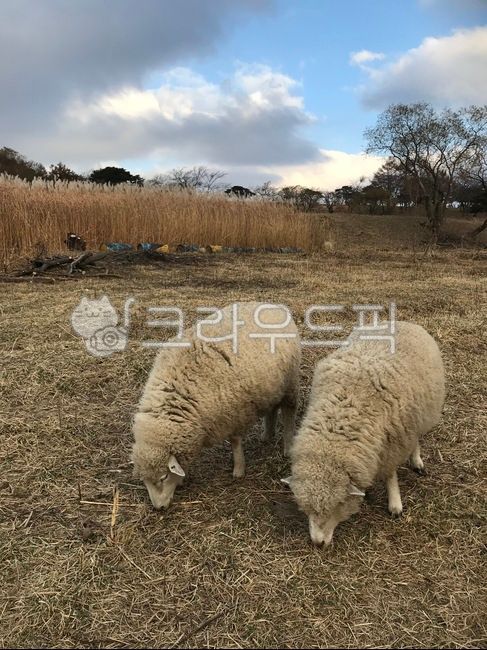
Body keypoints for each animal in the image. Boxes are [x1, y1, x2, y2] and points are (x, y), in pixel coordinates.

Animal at [131, 301, 301, 509]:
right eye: (144, 480)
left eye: (163, 477)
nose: (159, 508)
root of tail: (274, 306)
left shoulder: (234, 411)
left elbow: (235, 441)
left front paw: (239, 470)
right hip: (271, 386)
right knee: (272, 410)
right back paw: (266, 435)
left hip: (290, 384)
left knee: (289, 413)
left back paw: (287, 447)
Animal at [283, 320, 445, 546]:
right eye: (306, 509)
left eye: (338, 505)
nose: (318, 543)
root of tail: (402, 322)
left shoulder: (392, 443)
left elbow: (390, 474)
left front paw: (395, 503)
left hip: (420, 416)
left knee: (416, 440)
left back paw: (417, 460)